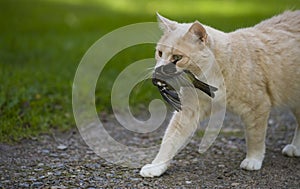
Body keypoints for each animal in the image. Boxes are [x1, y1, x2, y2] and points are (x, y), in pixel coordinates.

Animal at [140, 11, 300, 177]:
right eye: (160, 53)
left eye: (177, 58)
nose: (158, 71)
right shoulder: (188, 111)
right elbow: (170, 140)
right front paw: (156, 166)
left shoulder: (257, 107)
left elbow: (255, 137)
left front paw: (253, 159)